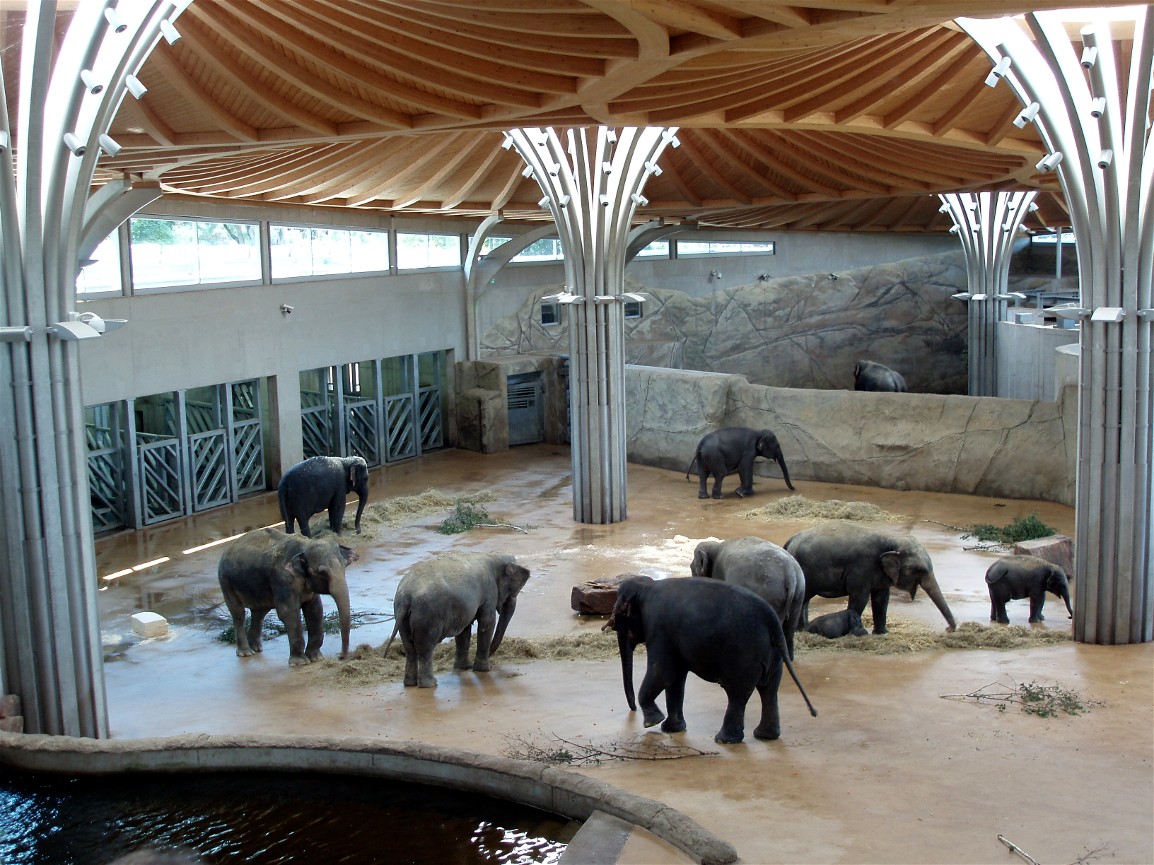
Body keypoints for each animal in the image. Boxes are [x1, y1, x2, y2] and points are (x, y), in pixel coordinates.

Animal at [217, 527, 358, 666]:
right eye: (322, 572)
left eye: (344, 566)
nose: (340, 656)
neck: (305, 545)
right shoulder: (282, 580)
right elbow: (289, 613)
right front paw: (300, 662)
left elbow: (315, 611)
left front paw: (316, 658)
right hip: (225, 581)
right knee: (238, 614)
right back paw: (246, 653)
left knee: (259, 613)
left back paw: (256, 648)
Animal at [385, 551, 531, 688]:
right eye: (513, 590)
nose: (491, 659)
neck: (493, 555)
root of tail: (406, 596)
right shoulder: (489, 592)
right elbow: (487, 623)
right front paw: (484, 669)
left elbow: (464, 629)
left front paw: (464, 667)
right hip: (427, 617)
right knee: (425, 648)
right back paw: (430, 684)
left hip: (402, 617)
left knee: (410, 649)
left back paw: (410, 683)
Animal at [605, 576, 817, 744]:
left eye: (617, 621)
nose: (632, 710)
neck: (647, 586)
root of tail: (771, 618)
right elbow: (676, 679)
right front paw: (670, 728)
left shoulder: (658, 628)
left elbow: (663, 672)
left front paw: (653, 722)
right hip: (774, 655)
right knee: (769, 691)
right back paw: (765, 736)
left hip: (744, 655)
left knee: (738, 694)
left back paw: (724, 740)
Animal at [784, 520, 957, 634]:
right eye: (920, 570)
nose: (948, 628)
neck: (892, 539)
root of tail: (790, 540)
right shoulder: (862, 568)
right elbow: (860, 598)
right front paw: (854, 634)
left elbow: (882, 598)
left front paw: (882, 634)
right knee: (803, 598)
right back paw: (800, 630)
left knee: (805, 599)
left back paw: (804, 629)